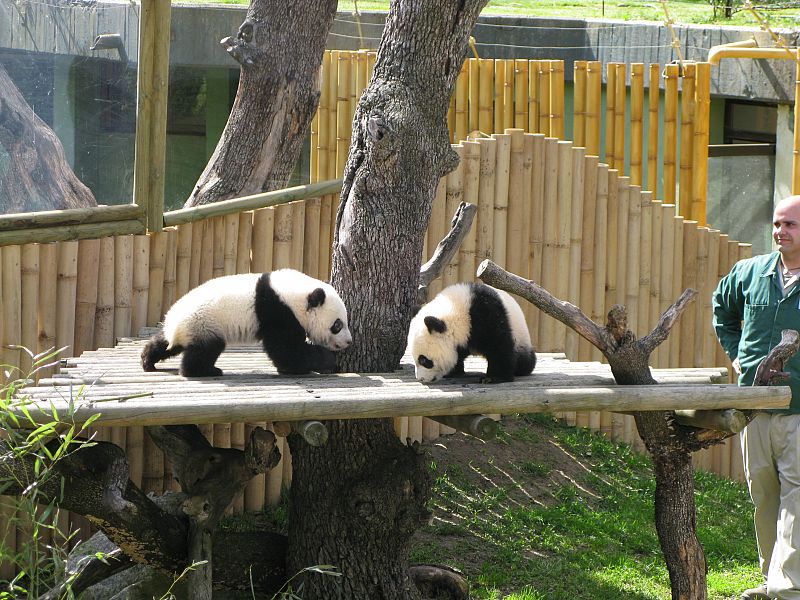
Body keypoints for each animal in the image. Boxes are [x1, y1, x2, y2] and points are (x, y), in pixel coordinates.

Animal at [140, 270, 350, 378]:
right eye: (337, 325)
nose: (349, 342)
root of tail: (176, 329)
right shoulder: (277, 312)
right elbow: (288, 352)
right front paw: (328, 360)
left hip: (184, 329)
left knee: (165, 344)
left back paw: (148, 360)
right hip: (204, 324)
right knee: (206, 349)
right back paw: (203, 371)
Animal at [406, 282, 536, 384]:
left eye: (423, 360)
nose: (421, 379)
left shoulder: (488, 315)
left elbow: (499, 346)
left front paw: (493, 378)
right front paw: (454, 371)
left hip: (521, 336)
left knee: (524, 359)